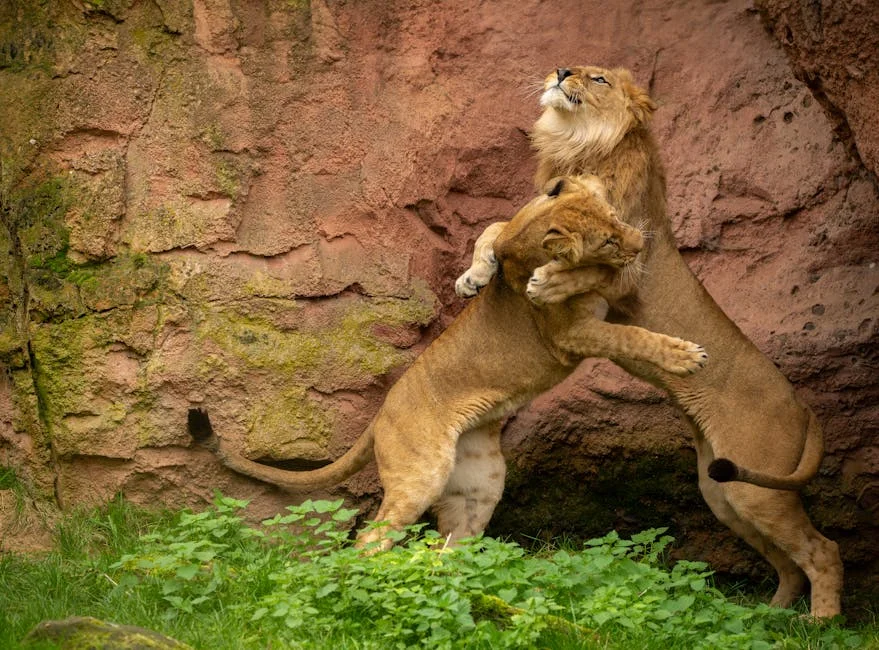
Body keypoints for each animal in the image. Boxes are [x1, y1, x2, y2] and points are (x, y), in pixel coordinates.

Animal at [216, 175, 708, 551]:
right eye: (607, 238)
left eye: (615, 217)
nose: (641, 242)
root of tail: (379, 415)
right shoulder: (569, 334)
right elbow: (625, 326)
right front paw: (685, 356)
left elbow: (494, 229)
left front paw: (482, 277)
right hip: (421, 473)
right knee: (370, 540)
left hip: (481, 482)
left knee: (450, 543)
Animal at [455, 66, 842, 618]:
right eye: (573, 66)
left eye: (597, 77)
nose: (561, 71)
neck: (580, 148)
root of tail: (805, 407)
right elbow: (493, 227)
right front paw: (472, 277)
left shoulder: (631, 260)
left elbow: (584, 266)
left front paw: (545, 282)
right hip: (726, 492)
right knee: (788, 561)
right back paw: (770, 615)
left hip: (759, 490)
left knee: (823, 551)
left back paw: (820, 624)